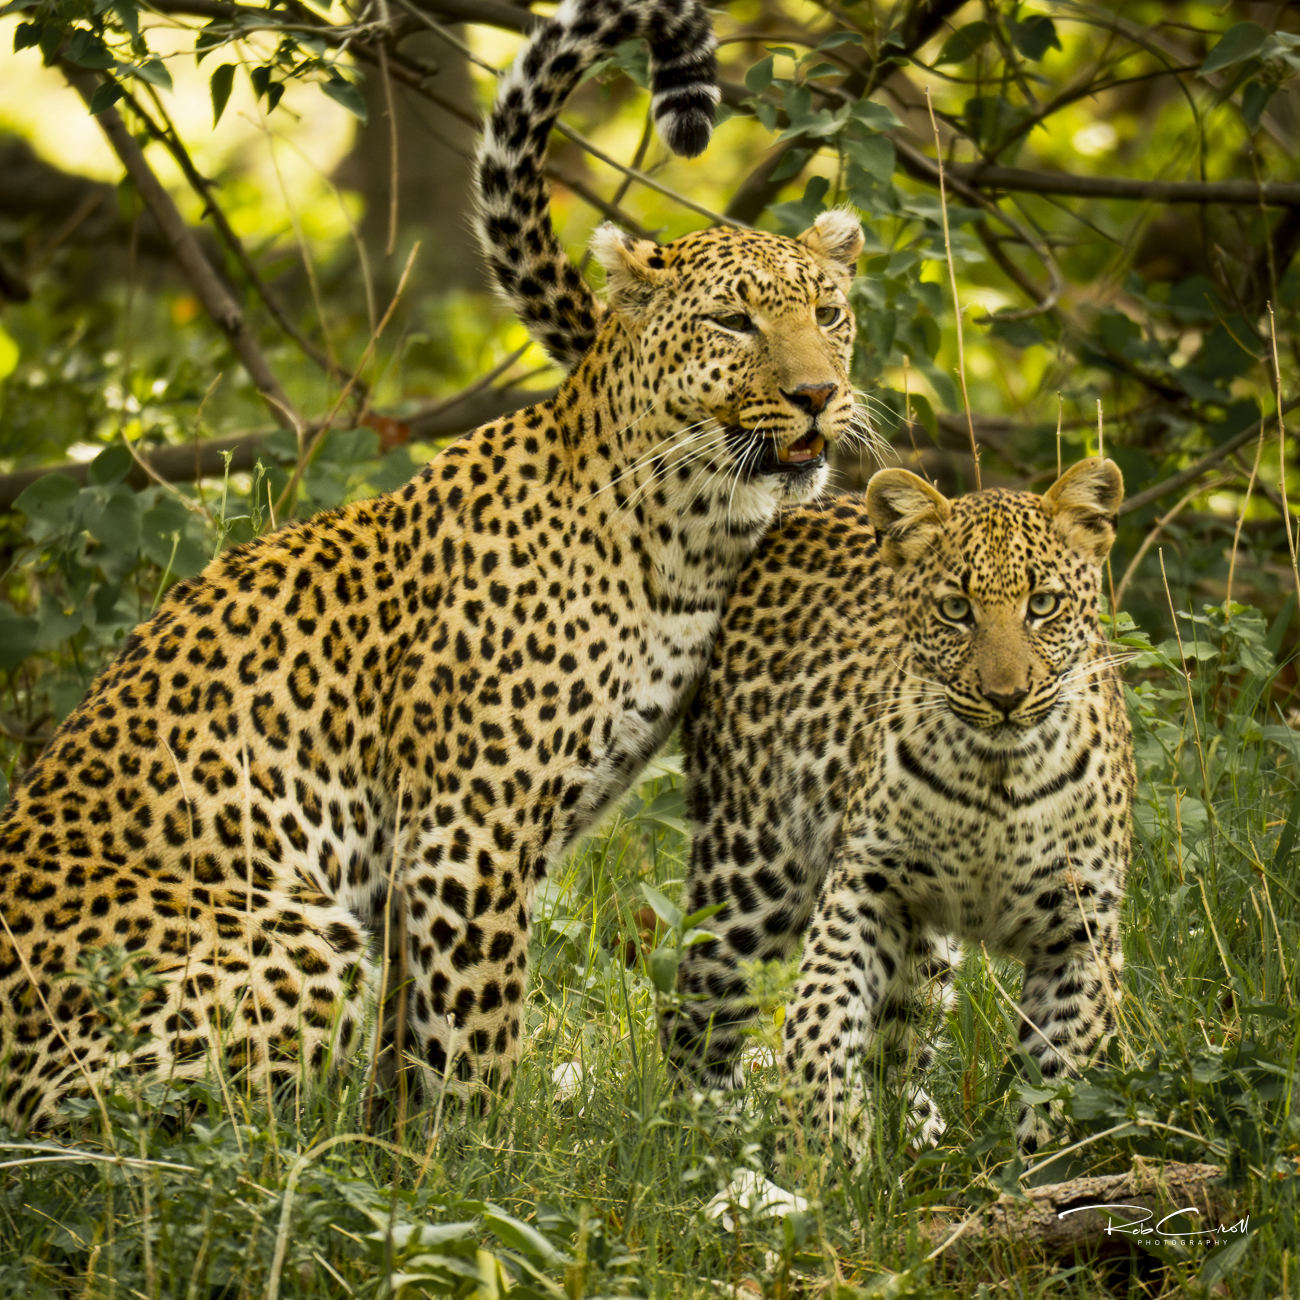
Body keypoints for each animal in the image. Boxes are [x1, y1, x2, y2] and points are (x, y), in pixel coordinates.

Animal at [0, 0, 869, 1129]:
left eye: (829, 313)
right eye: (734, 320)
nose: (818, 395)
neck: (686, 534)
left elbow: (413, 1042)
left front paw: (411, 1146)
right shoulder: (471, 831)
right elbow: (474, 1033)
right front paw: (483, 1161)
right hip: (290, 946)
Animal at [663, 458, 1135, 1157]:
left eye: (1043, 605)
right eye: (956, 610)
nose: (1005, 697)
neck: (997, 779)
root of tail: (799, 508)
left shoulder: (1080, 934)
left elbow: (1056, 1080)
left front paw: (1035, 1170)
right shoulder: (866, 884)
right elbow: (820, 1013)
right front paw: (827, 1149)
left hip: (926, 943)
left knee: (904, 1032)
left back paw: (915, 1129)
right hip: (749, 873)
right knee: (698, 1014)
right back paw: (703, 1145)